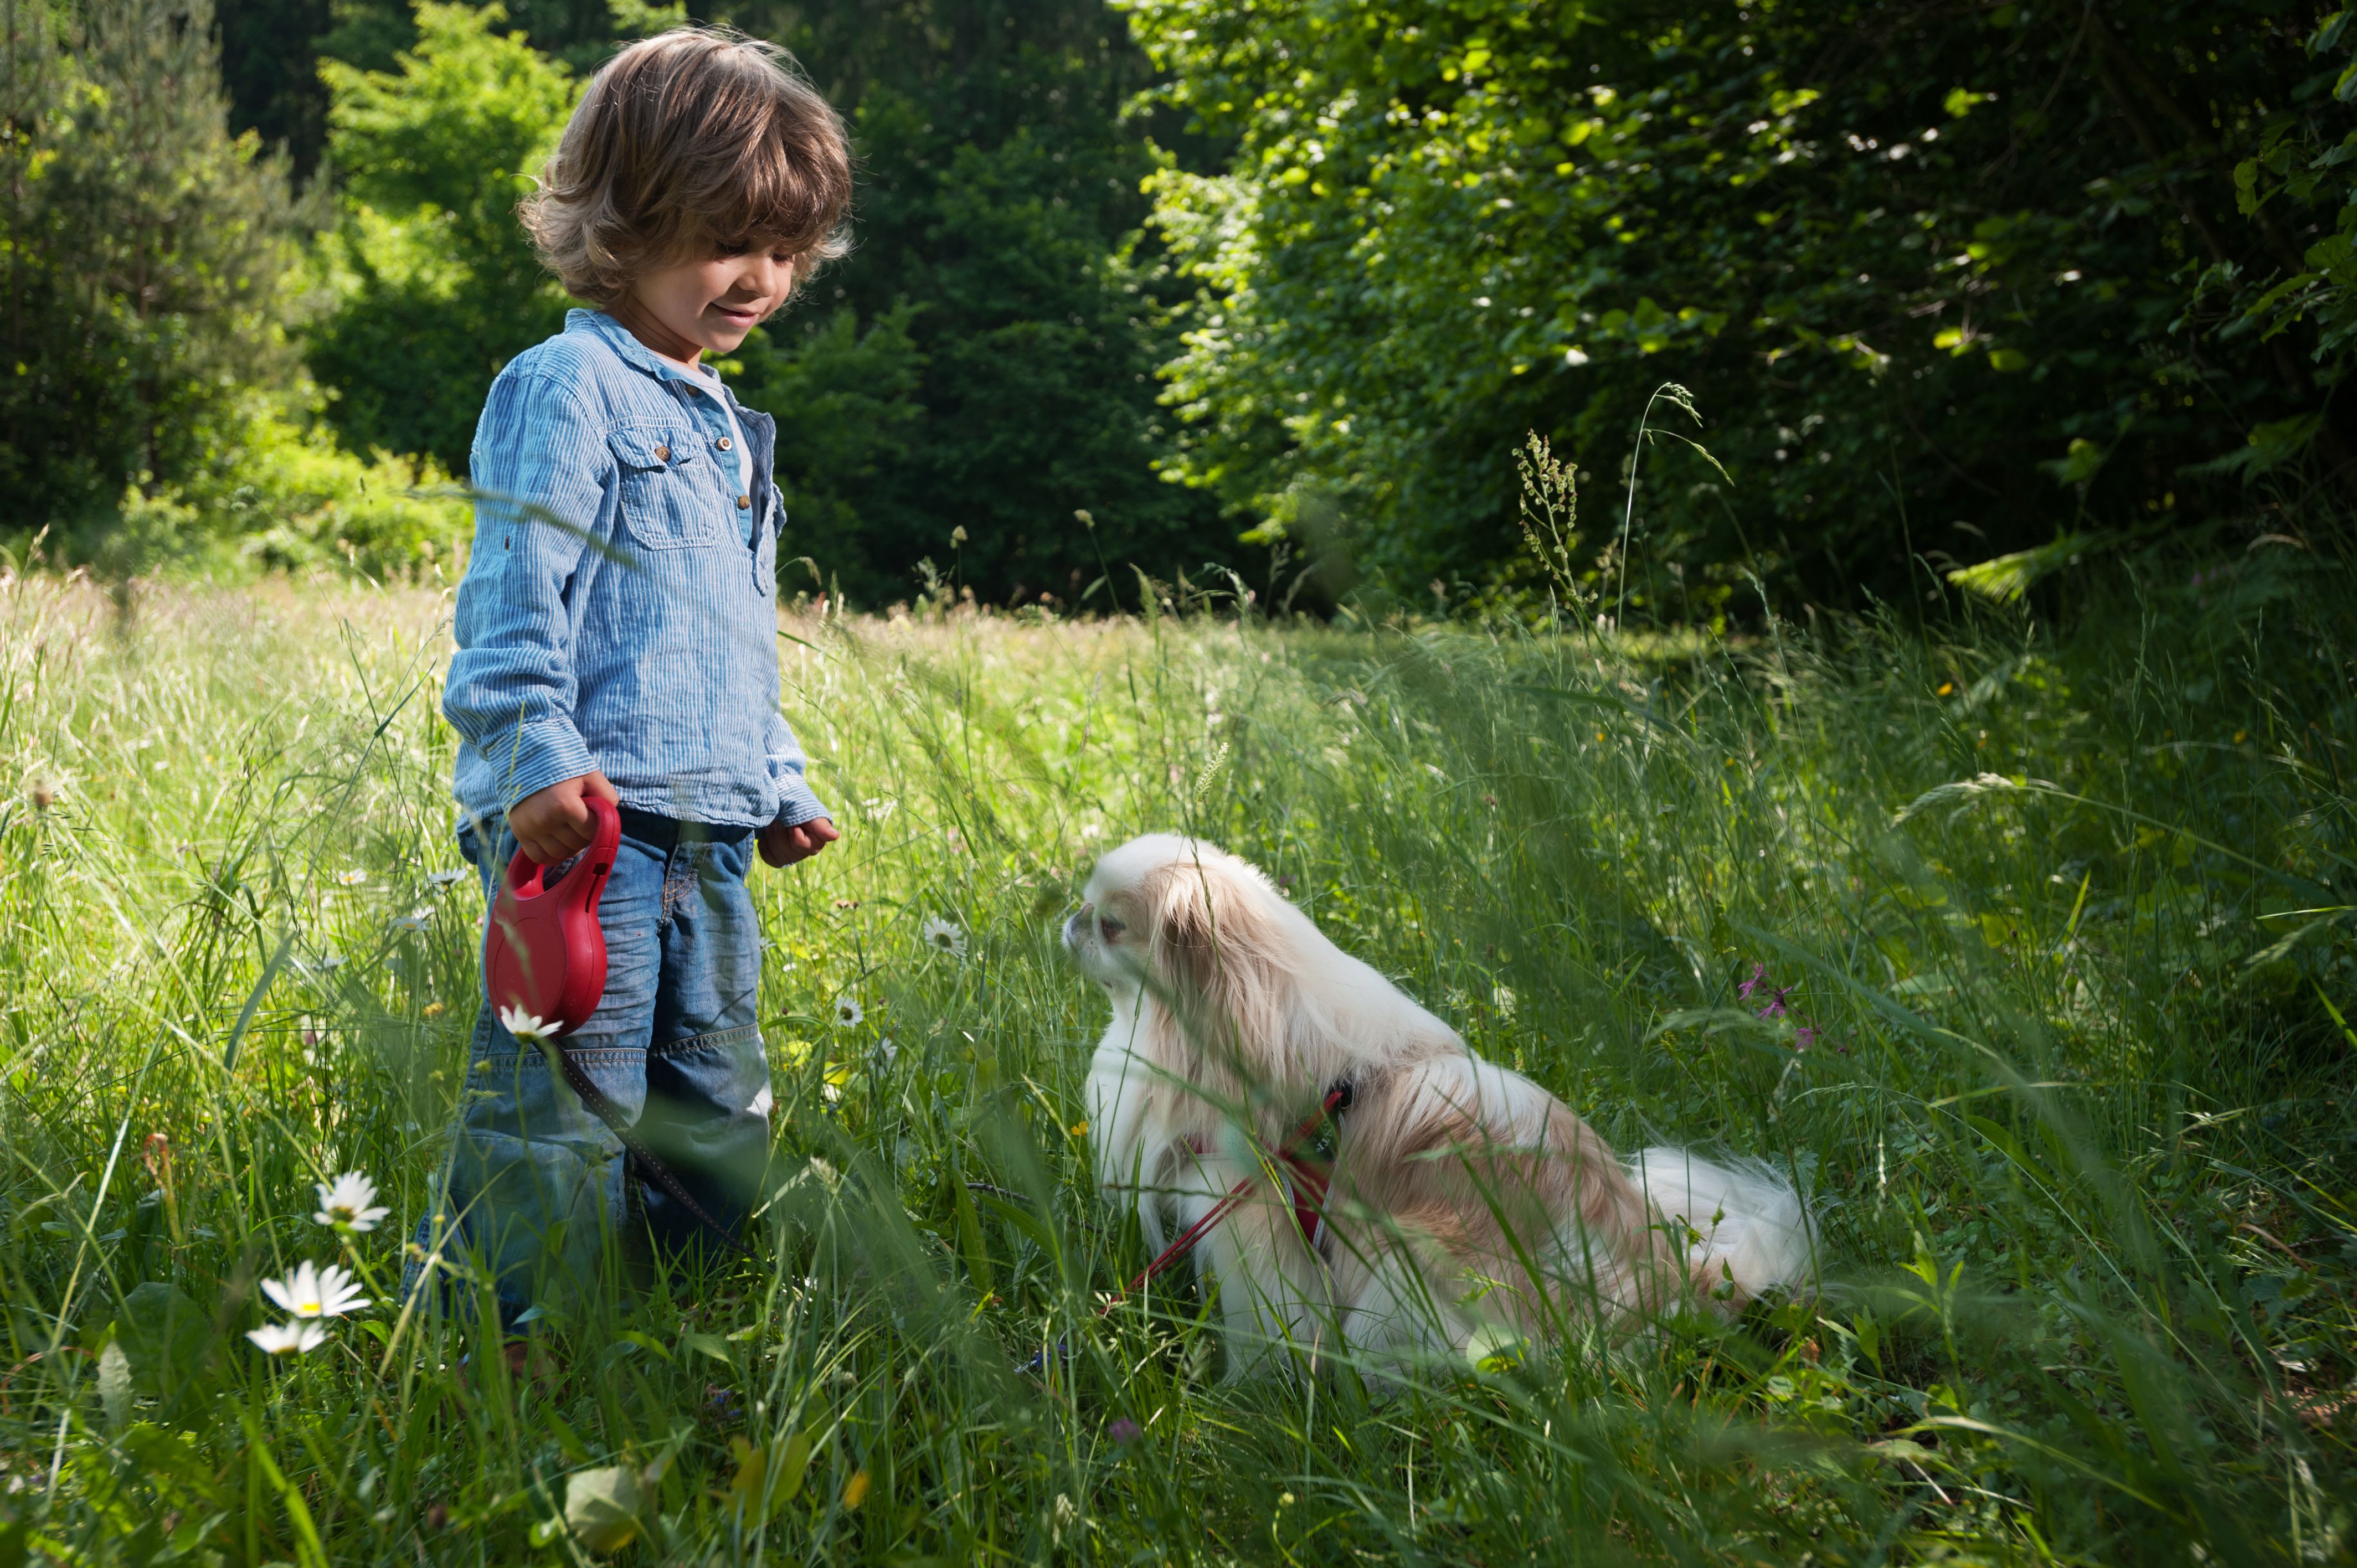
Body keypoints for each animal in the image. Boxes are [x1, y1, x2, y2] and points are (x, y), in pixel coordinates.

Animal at [1070, 839, 1819, 1377]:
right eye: (1085, 912)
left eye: (1109, 926)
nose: (1068, 923)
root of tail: (1675, 1287)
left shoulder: (1247, 1214)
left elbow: (1269, 1325)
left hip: (1405, 1261)